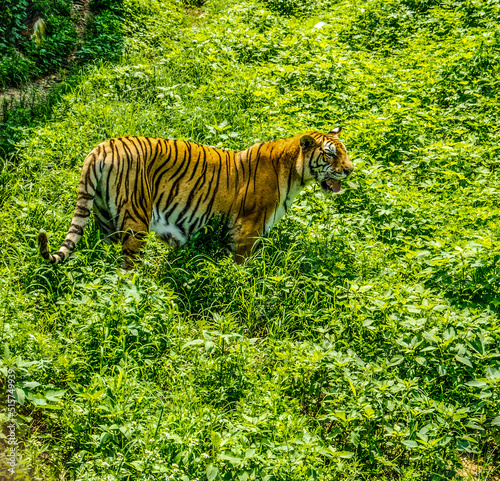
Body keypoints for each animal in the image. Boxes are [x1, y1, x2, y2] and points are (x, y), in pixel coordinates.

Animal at [38, 127, 352, 268]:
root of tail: (101, 148)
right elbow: (242, 265)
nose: (350, 169)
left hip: (105, 217)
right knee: (128, 266)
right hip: (136, 220)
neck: (295, 173)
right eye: (330, 154)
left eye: (344, 151)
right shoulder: (247, 229)